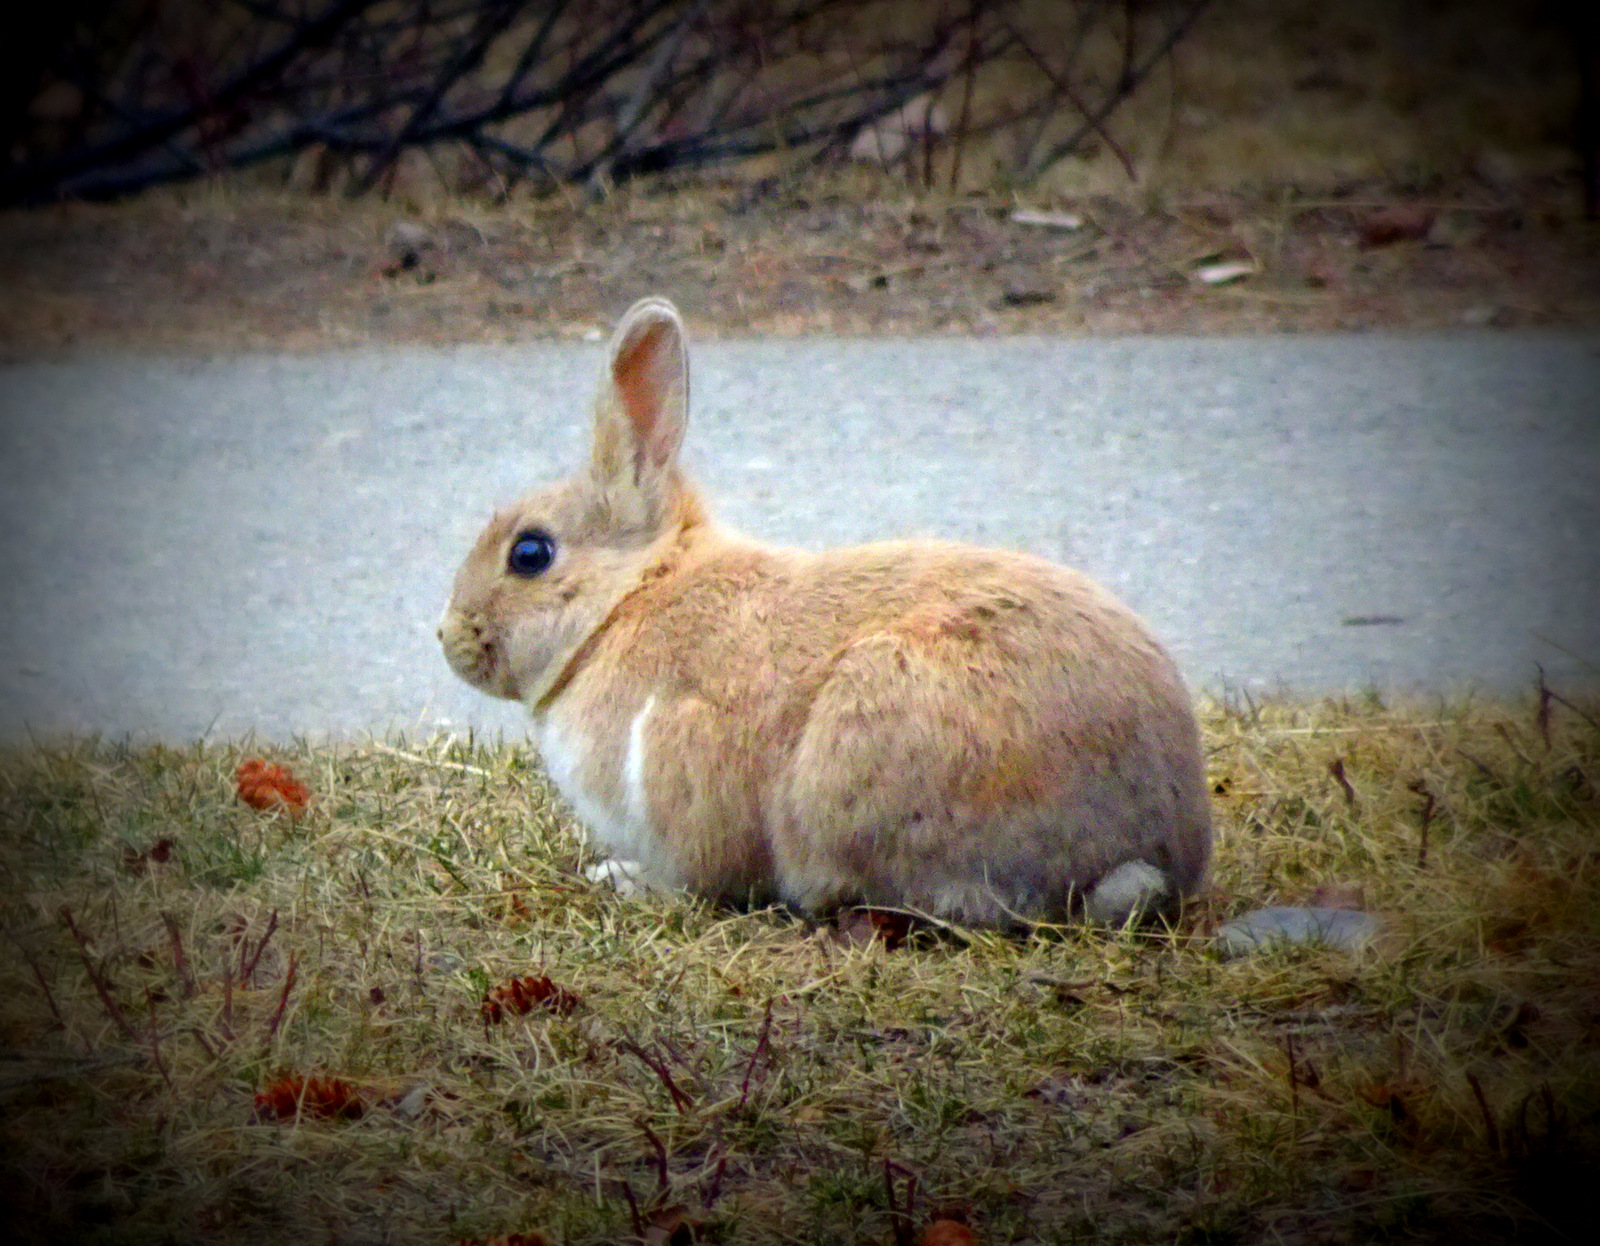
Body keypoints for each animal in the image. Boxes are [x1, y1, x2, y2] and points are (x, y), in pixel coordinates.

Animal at [439, 297, 1211, 927]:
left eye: (530, 553)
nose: (448, 637)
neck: (628, 599)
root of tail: (1165, 849)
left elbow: (697, 876)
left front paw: (623, 879)